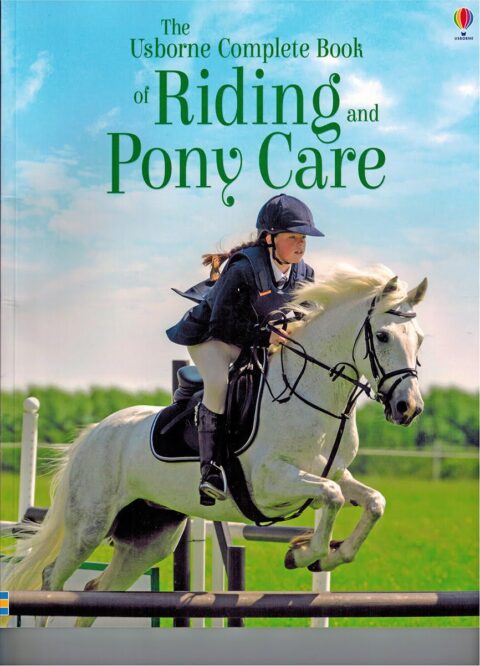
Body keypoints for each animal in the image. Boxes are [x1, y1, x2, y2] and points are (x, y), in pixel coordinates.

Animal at [0, 264, 427, 628]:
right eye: (383, 336)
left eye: (420, 340)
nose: (408, 408)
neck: (314, 393)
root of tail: (96, 432)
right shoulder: (271, 483)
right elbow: (334, 497)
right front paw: (304, 553)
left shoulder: (334, 471)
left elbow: (372, 502)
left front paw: (327, 557)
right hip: (88, 526)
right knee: (51, 581)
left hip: (148, 541)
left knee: (94, 592)